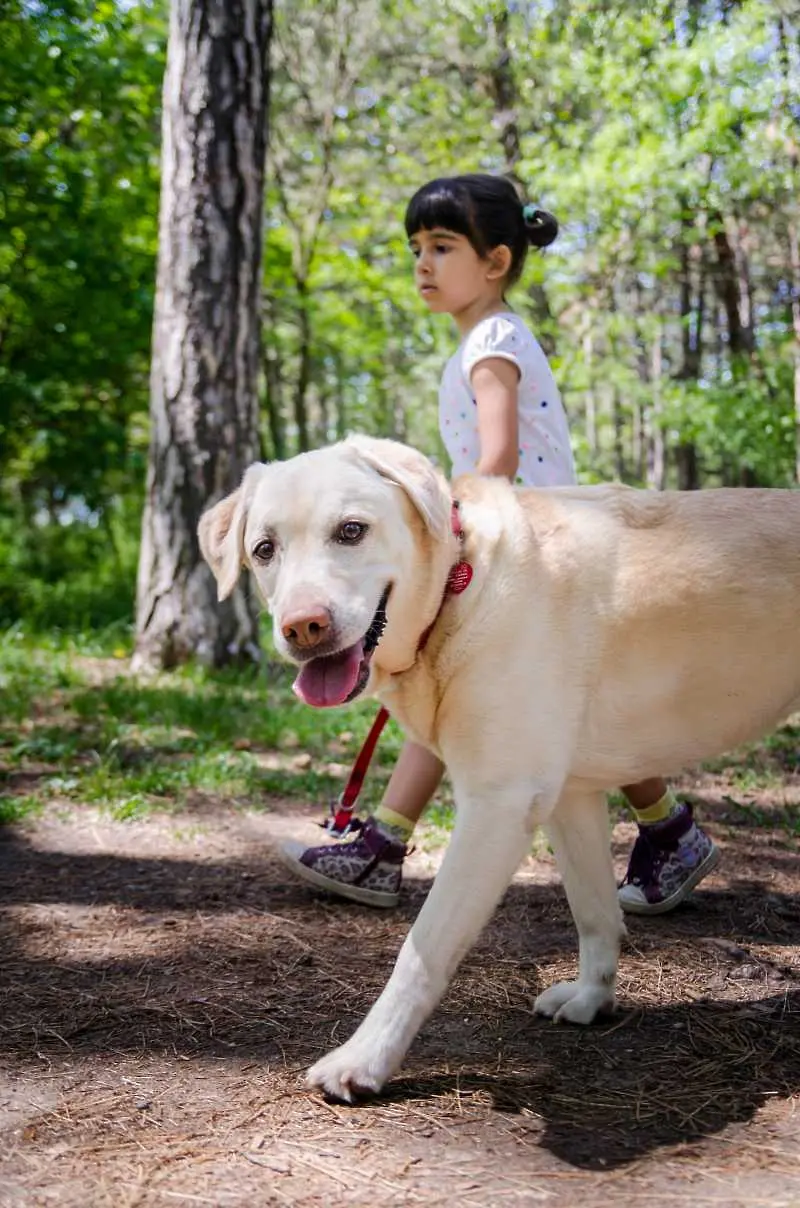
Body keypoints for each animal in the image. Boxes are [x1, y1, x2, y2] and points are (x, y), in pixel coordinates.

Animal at [199, 437, 800, 1106]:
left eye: (351, 530)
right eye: (264, 549)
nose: (304, 627)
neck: (460, 587)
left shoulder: (498, 804)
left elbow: (422, 950)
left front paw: (364, 1059)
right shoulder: (569, 799)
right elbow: (593, 910)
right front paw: (593, 997)